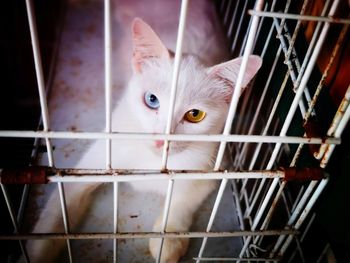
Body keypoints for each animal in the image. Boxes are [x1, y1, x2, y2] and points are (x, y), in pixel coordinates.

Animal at [24, 1, 262, 262]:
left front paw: (168, 239)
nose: (160, 141)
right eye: (151, 100)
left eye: (194, 115)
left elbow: (185, 197)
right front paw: (34, 253)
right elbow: (60, 208)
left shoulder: (209, 166)